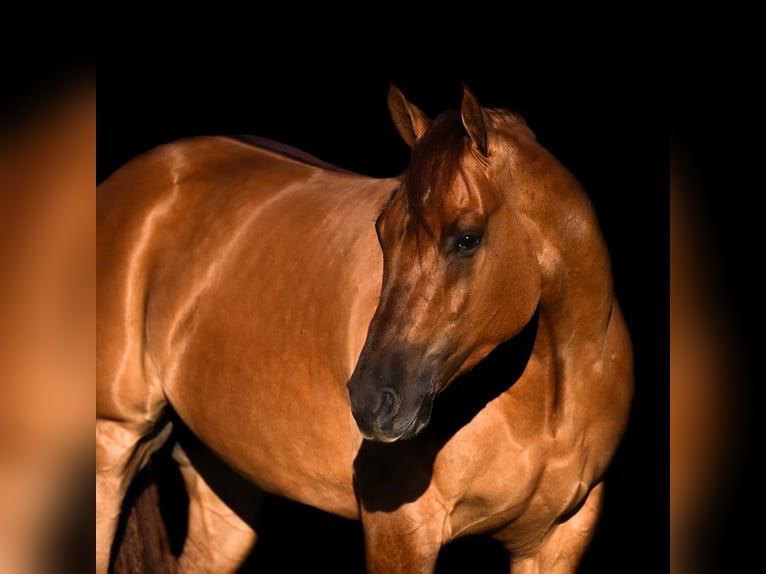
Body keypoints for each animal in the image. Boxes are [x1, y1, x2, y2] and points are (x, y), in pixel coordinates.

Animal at [97, 85, 636, 574]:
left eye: (467, 238)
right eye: (382, 231)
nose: (372, 400)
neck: (555, 396)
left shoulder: (554, 542)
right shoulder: (399, 531)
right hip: (113, 445)